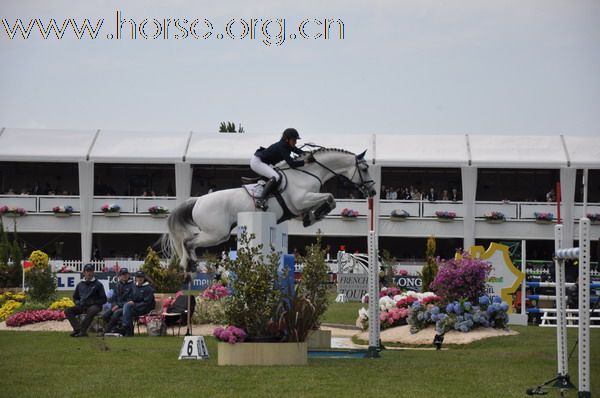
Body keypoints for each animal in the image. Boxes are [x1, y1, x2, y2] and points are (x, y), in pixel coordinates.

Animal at [162, 147, 378, 268]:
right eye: (365, 168)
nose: (373, 191)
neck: (308, 173)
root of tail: (197, 201)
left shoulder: (300, 207)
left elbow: (328, 201)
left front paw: (312, 217)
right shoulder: (302, 200)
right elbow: (330, 198)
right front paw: (316, 215)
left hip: (216, 234)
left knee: (189, 243)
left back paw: (190, 266)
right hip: (216, 233)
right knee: (188, 242)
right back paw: (186, 267)